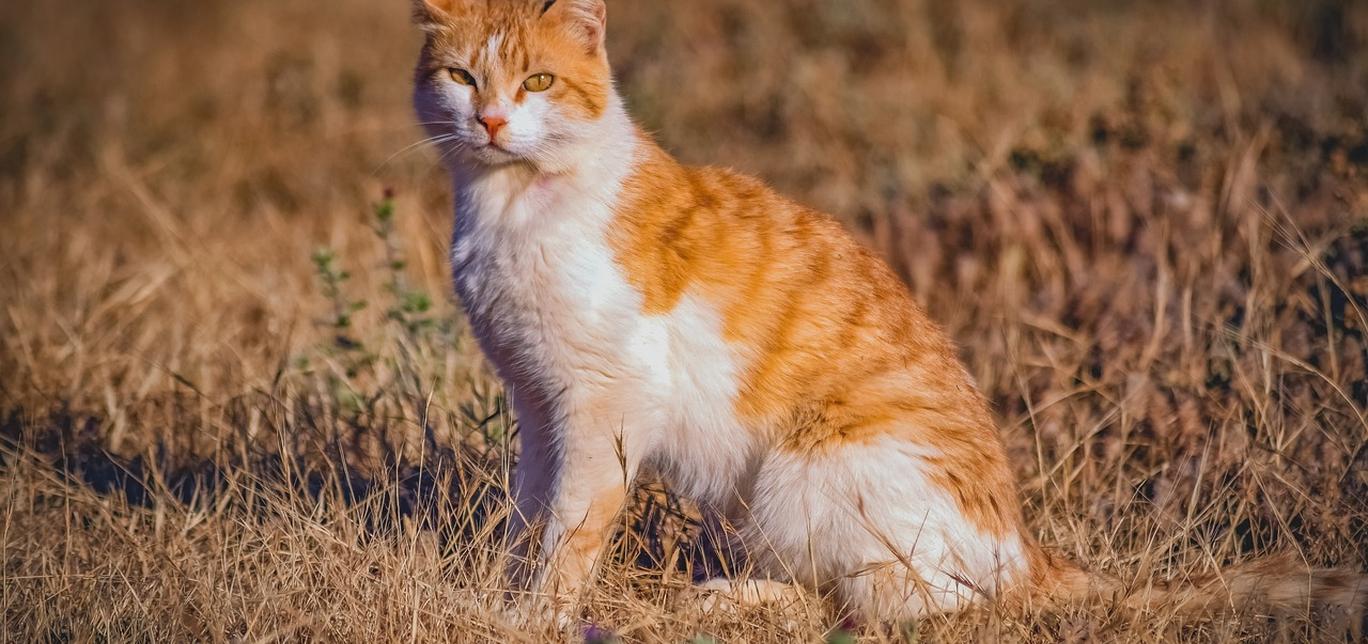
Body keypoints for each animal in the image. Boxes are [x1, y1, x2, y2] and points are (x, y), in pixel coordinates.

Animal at [407, 0, 1368, 626]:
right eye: (461, 76)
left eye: (539, 80)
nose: (491, 120)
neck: (509, 206)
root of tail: (1028, 546)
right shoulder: (540, 401)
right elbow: (530, 514)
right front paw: (493, 600)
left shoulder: (606, 403)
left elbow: (571, 530)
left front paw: (532, 617)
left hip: (808, 474)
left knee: (914, 603)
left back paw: (738, 601)